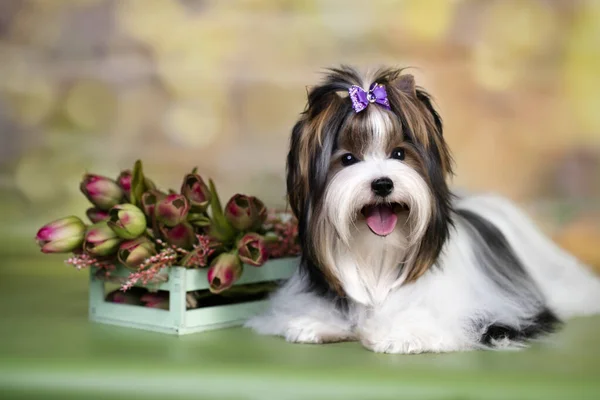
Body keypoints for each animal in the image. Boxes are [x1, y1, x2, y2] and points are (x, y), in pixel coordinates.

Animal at [245, 65, 600, 354]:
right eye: (347, 159)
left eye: (399, 154)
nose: (382, 184)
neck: (379, 258)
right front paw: (315, 323)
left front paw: (402, 334)